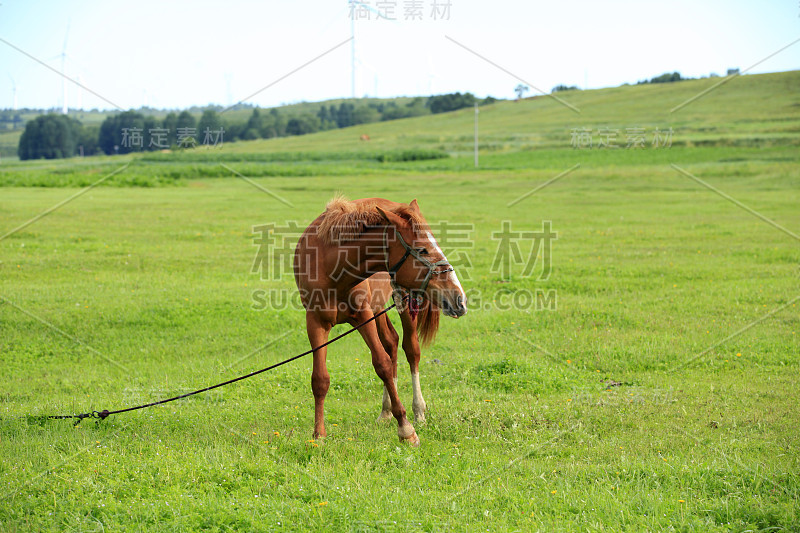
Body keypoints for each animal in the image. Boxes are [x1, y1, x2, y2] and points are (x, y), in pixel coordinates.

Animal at [296, 195, 468, 444]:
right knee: (392, 342)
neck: (332, 269)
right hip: (381, 309)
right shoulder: (316, 322)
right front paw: (319, 435)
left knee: (411, 350)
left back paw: (418, 411)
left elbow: (382, 364)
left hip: (403, 304)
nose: (459, 298)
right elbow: (320, 378)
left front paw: (406, 429)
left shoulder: (363, 316)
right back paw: (386, 411)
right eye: (422, 249)